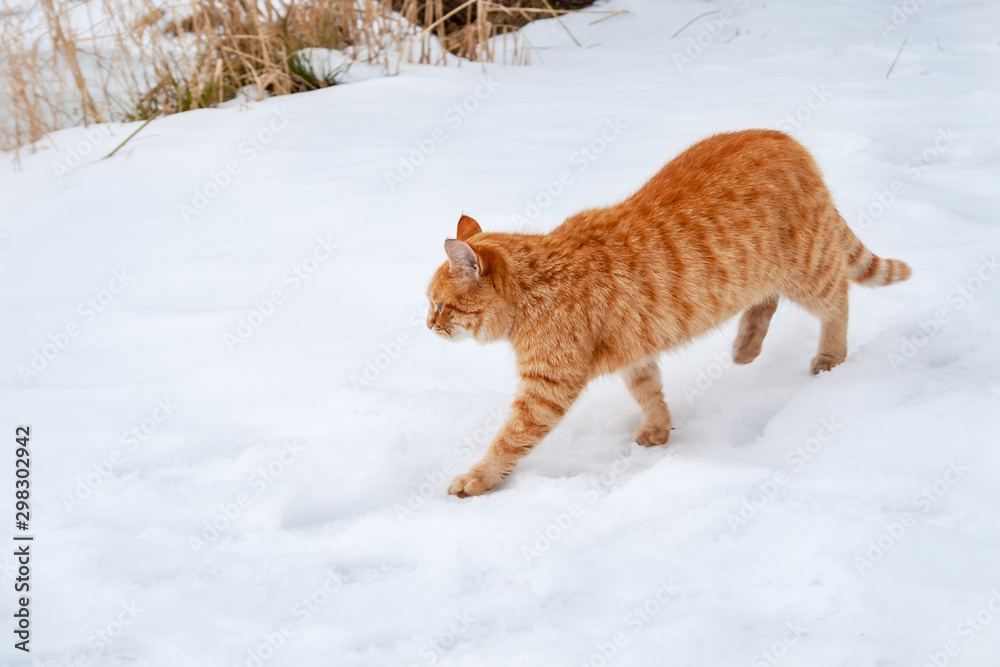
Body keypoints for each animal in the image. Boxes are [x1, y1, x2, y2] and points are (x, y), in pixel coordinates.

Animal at [426, 129, 912, 496]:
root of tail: (785, 138)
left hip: (807, 269)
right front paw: (659, 429)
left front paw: (479, 477)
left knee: (838, 299)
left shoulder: (547, 387)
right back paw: (746, 347)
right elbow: (649, 391)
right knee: (766, 300)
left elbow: (510, 439)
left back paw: (830, 355)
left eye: (439, 304)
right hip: (759, 273)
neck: (538, 282)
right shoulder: (633, 351)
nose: (428, 325)